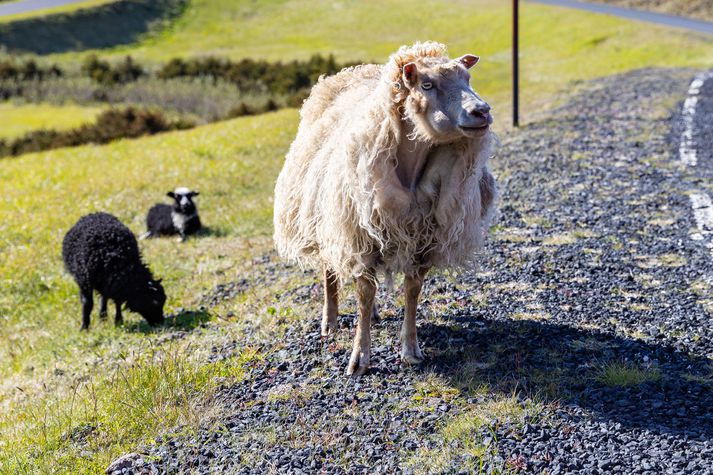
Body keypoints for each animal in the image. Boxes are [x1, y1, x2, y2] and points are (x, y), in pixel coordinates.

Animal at [272, 41, 496, 376]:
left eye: (468, 79)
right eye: (427, 85)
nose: (481, 111)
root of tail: (350, 72)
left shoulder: (423, 237)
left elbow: (412, 291)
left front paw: (410, 349)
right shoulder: (358, 235)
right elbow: (364, 296)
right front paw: (359, 358)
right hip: (329, 218)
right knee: (330, 269)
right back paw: (330, 321)